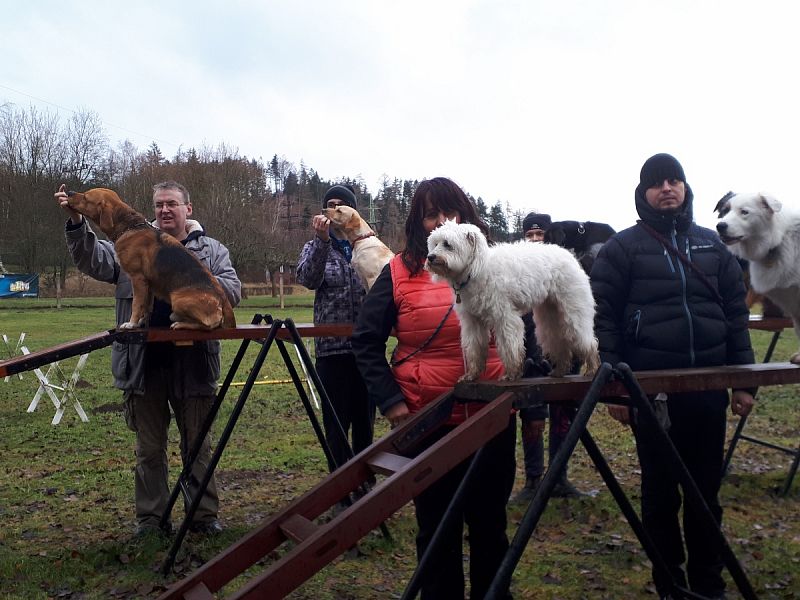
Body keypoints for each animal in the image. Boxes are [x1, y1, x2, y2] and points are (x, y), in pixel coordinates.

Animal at [66, 188, 236, 330]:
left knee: (208, 326)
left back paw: (180, 324)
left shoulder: (138, 279)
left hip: (177, 299)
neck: (130, 227)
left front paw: (131, 323)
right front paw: (141, 322)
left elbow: (136, 304)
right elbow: (146, 307)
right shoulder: (148, 285)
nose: (69, 192)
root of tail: (223, 300)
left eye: (86, 197)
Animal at [424, 220, 600, 380]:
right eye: (435, 244)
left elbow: (509, 348)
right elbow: (474, 349)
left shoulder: (504, 317)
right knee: (559, 343)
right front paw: (471, 375)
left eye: (447, 244)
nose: (430, 257)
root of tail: (569, 256)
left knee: (588, 342)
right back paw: (559, 371)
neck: (476, 270)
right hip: (550, 315)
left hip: (574, 312)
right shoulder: (472, 322)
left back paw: (592, 369)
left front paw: (511, 374)